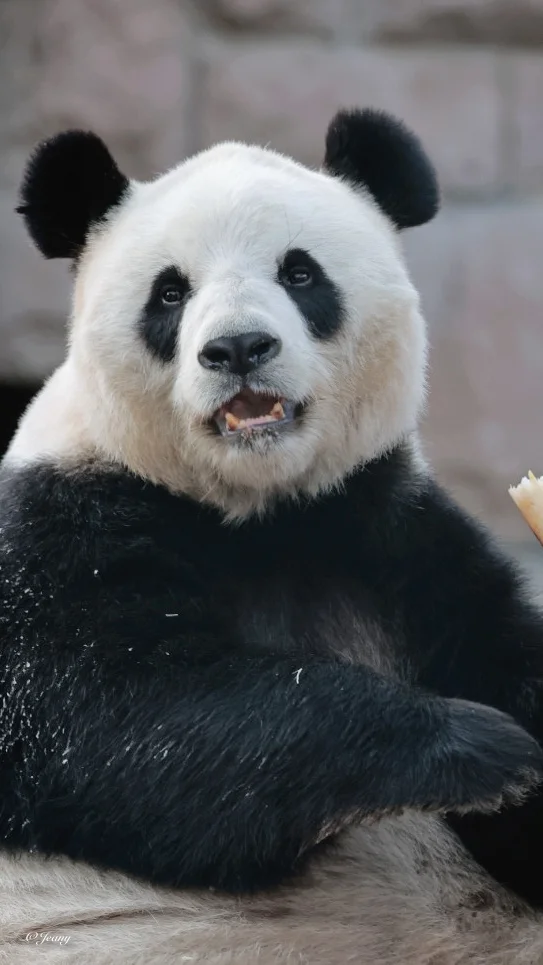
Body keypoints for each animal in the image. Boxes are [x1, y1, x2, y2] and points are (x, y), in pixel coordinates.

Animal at [1, 109, 543, 960]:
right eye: (170, 291)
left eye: (299, 273)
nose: (237, 349)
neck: (259, 512)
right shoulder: (59, 529)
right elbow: (108, 716)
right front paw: (474, 744)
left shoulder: (388, 531)